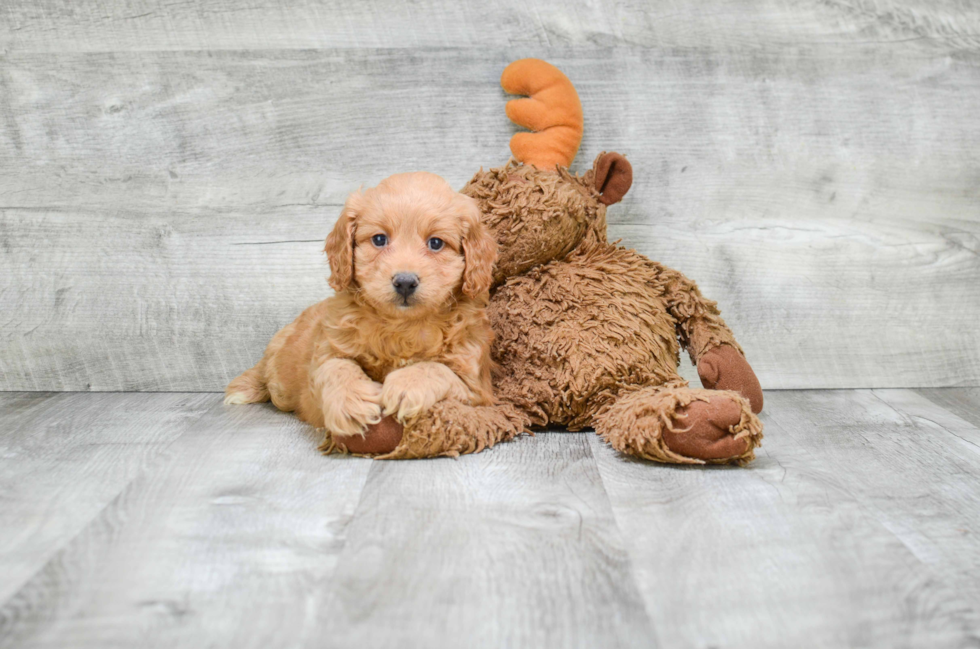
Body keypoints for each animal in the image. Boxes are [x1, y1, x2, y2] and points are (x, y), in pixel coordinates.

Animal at [224, 170, 498, 448]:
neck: (402, 325)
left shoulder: (477, 388)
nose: (405, 282)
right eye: (379, 239)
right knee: (266, 375)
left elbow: (438, 370)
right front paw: (350, 403)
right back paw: (244, 389)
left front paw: (406, 385)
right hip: (280, 366)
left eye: (435, 243)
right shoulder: (326, 350)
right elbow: (336, 367)